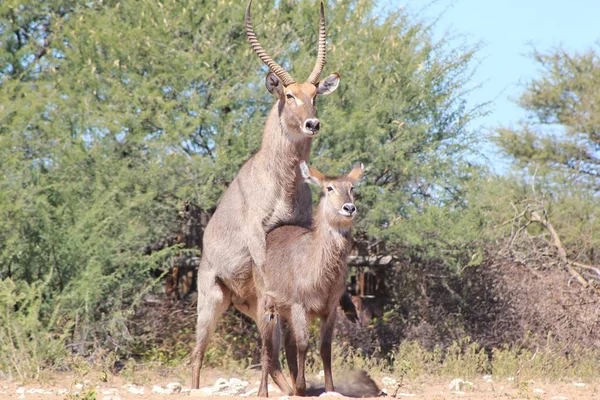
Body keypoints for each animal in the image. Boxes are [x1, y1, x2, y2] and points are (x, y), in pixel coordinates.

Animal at [191, 0, 352, 392]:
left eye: (314, 95)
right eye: (288, 94)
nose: (312, 123)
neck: (282, 183)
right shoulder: (258, 239)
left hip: (248, 304)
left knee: (273, 348)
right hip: (212, 301)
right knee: (198, 353)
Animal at [254, 160, 364, 396]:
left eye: (352, 188)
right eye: (329, 188)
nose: (349, 208)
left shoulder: (329, 309)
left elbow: (325, 347)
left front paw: (329, 388)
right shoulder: (299, 306)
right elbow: (303, 344)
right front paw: (302, 387)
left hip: (285, 313)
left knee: (287, 343)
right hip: (266, 307)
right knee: (267, 348)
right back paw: (263, 392)